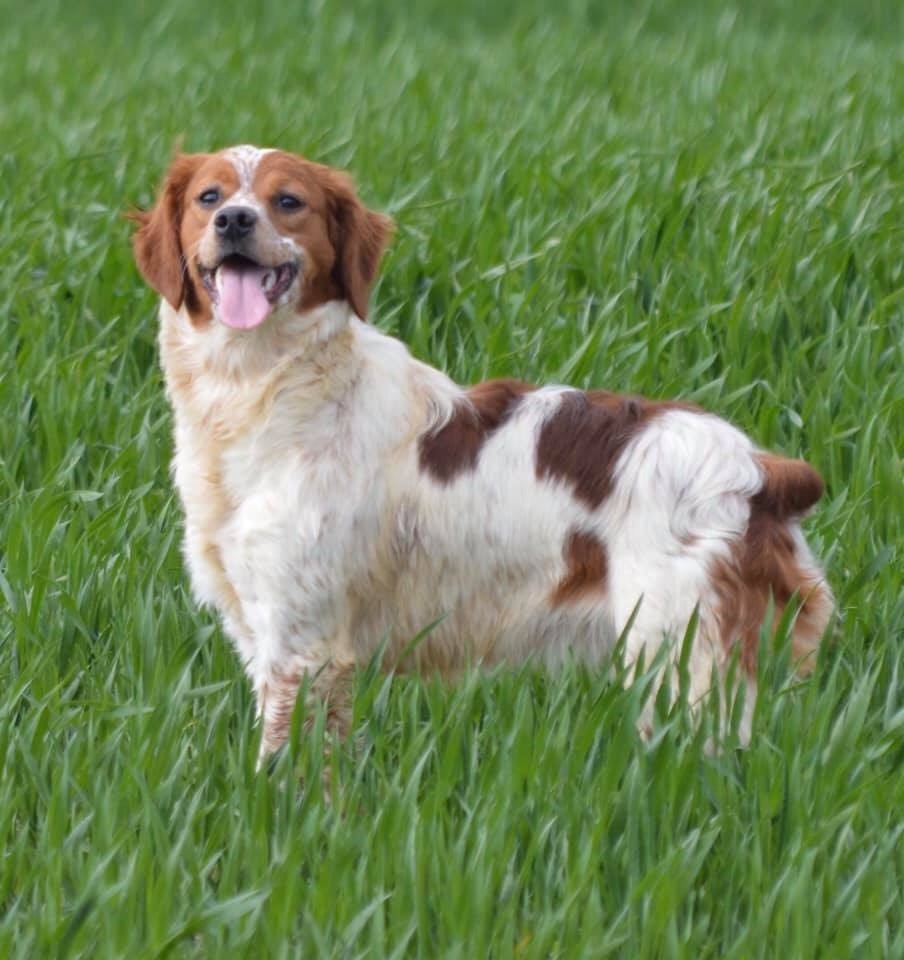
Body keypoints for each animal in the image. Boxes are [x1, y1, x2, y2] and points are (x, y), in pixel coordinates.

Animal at [131, 145, 833, 759]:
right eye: (208, 196)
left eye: (287, 200)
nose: (234, 220)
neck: (260, 391)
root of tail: (760, 469)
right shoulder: (269, 634)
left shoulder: (304, 644)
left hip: (681, 658)